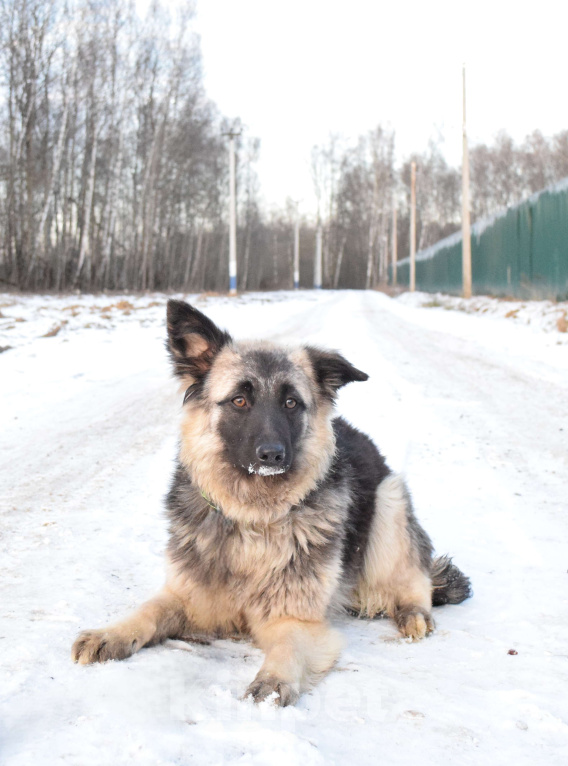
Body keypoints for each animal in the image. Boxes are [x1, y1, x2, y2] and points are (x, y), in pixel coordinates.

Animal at [71, 300, 470, 708]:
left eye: (291, 403)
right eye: (239, 400)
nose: (272, 455)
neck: (252, 513)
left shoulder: (296, 620)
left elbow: (287, 649)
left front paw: (272, 681)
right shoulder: (186, 595)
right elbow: (148, 609)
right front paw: (111, 633)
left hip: (390, 501)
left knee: (415, 577)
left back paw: (412, 612)